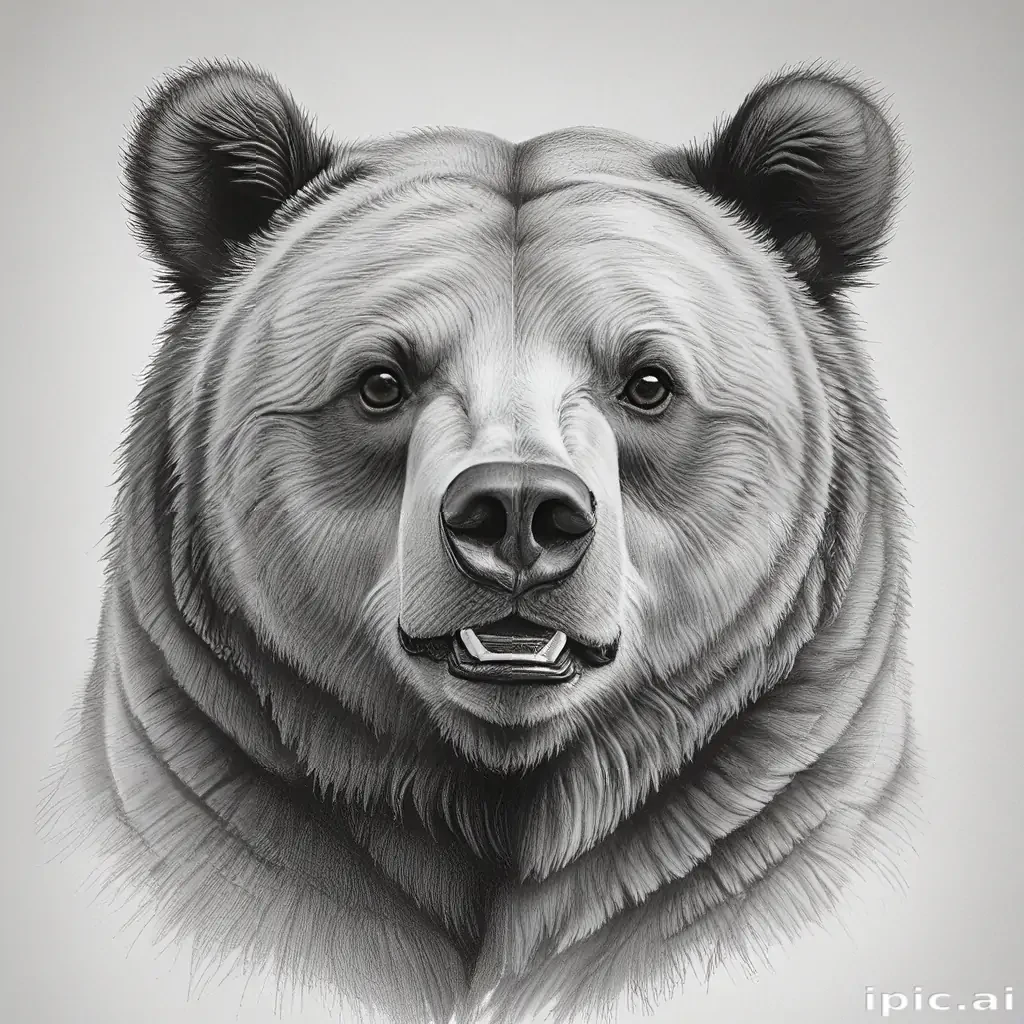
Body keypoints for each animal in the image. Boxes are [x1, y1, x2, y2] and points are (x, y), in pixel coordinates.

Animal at [40, 58, 918, 1024]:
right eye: (381, 381)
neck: (505, 800)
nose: (520, 512)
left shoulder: (759, 815)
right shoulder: (223, 792)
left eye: (649, 382)